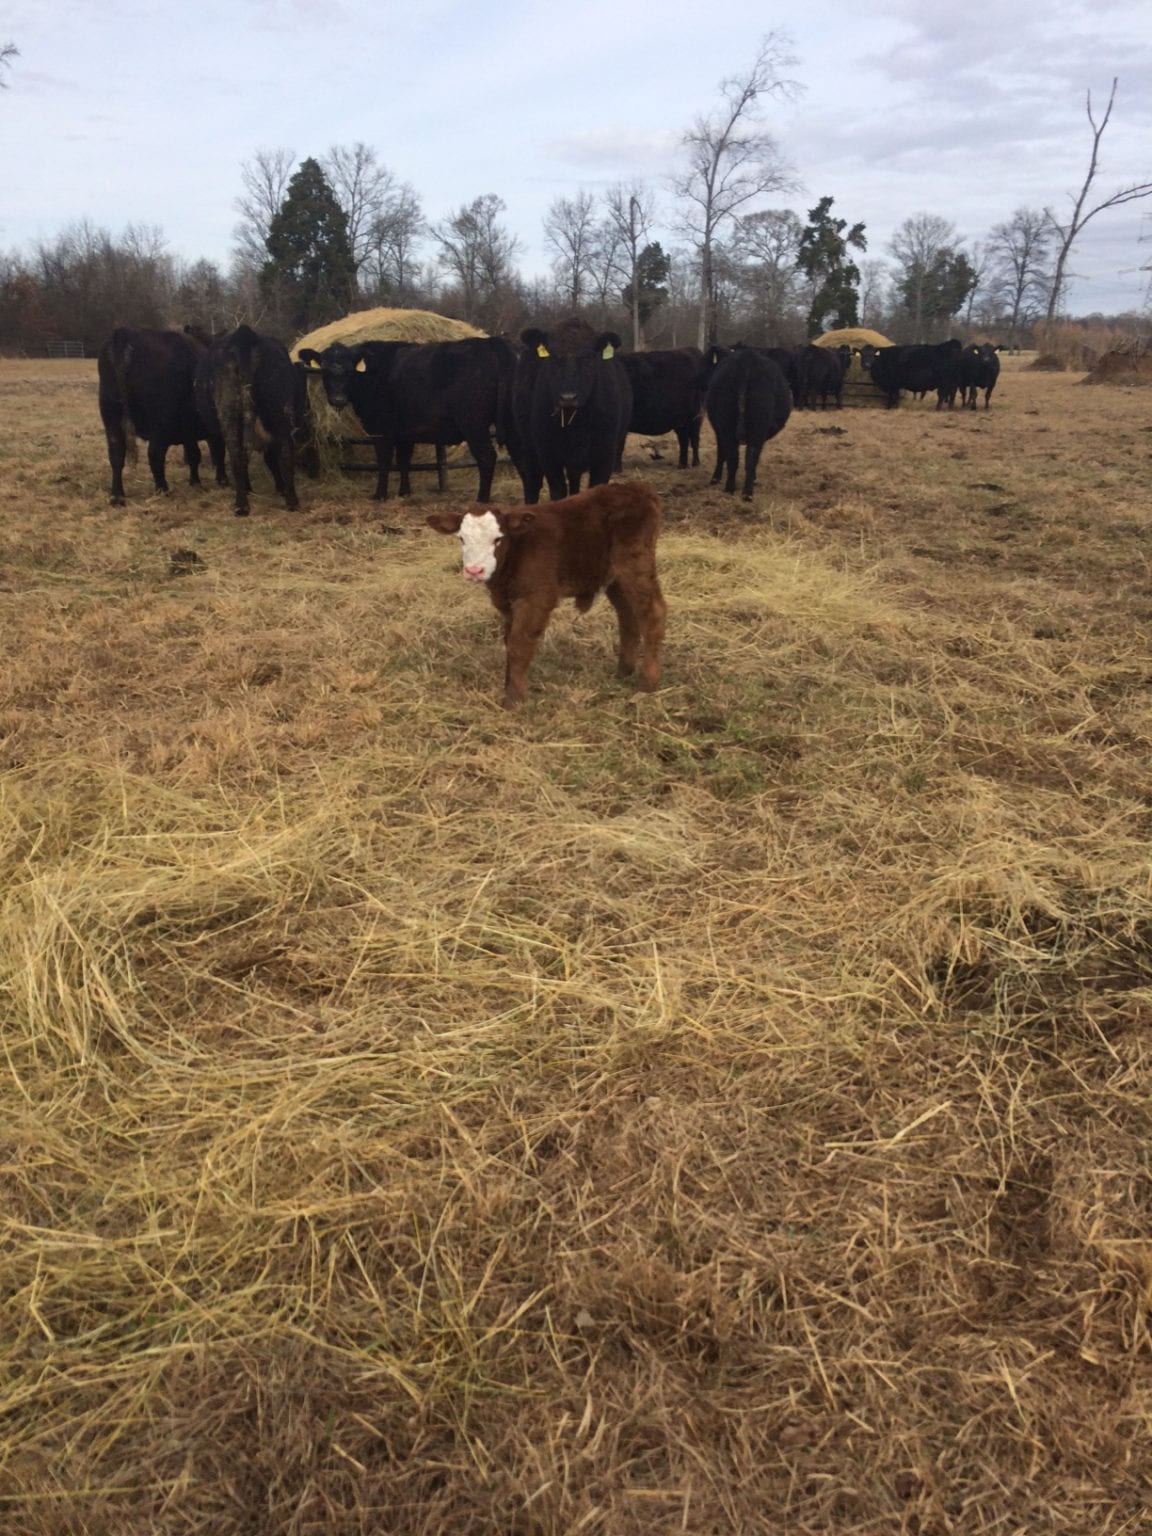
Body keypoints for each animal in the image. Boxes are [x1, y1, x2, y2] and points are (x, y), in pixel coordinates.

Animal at [97, 327, 223, 505]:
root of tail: (126, 333)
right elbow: (217, 452)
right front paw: (221, 480)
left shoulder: (189, 430)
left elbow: (194, 454)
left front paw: (195, 482)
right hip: (160, 423)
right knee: (155, 454)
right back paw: (163, 489)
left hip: (111, 417)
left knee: (116, 454)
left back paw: (117, 495)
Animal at [194, 324, 302, 516]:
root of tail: (244, 335)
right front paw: (279, 488)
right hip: (279, 410)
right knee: (285, 453)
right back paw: (291, 501)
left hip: (228, 414)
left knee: (237, 457)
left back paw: (242, 504)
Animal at [426, 480, 666, 707]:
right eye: (461, 539)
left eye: (498, 539)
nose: (474, 570)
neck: (516, 551)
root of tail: (636, 488)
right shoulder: (508, 603)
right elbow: (509, 642)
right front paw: (509, 685)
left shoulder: (535, 598)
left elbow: (519, 644)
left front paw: (514, 699)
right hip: (614, 578)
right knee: (628, 616)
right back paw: (624, 672)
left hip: (636, 566)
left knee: (654, 614)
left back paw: (647, 683)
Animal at [514, 319, 633, 504]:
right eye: (553, 357)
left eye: (588, 357)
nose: (568, 397)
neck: (577, 424)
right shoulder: (549, 456)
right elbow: (558, 492)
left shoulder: (605, 456)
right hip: (529, 447)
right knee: (532, 483)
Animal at [704, 346, 793, 500]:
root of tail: (747, 361)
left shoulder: (719, 430)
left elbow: (722, 453)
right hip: (755, 425)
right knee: (749, 456)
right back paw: (745, 492)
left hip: (729, 425)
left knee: (737, 456)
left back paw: (734, 490)